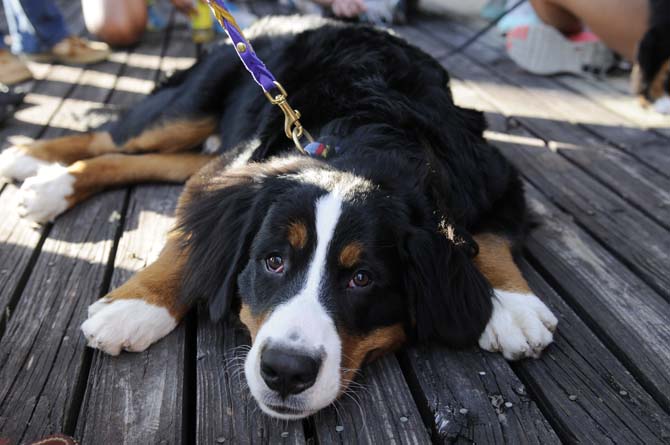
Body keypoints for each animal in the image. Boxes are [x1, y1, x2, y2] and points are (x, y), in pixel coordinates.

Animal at [0, 15, 560, 418]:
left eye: (362, 278)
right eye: (273, 261)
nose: (286, 371)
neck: (365, 137)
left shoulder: (497, 175)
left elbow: (492, 236)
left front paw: (513, 304)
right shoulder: (230, 174)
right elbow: (189, 246)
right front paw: (137, 305)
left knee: (143, 158)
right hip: (190, 109)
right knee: (112, 138)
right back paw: (35, 165)